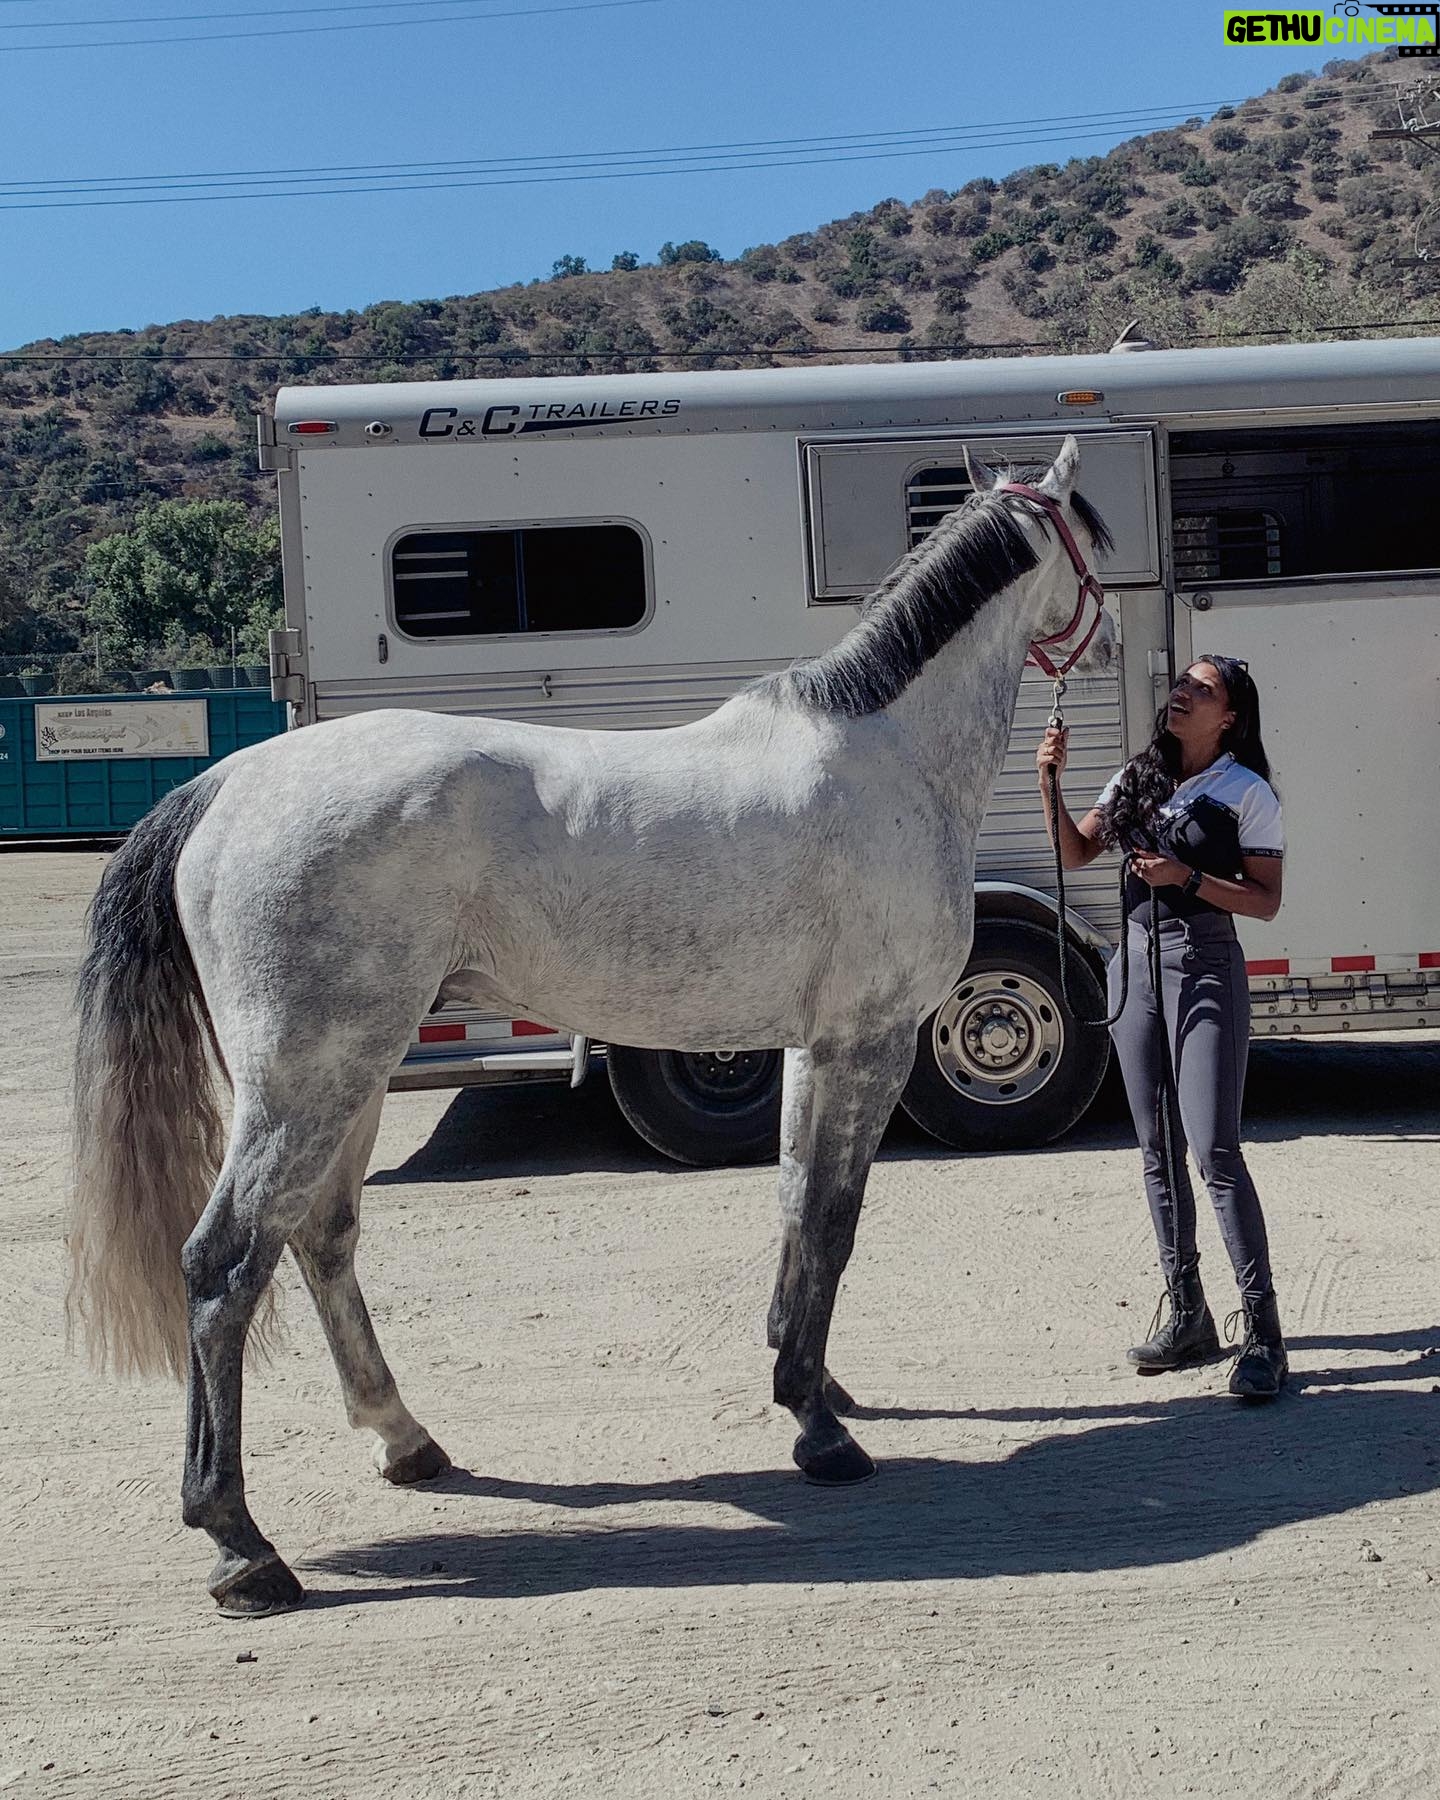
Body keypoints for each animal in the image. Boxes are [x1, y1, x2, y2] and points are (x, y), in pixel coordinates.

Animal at [66, 436, 1115, 1616]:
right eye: (1097, 536)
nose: (1116, 637)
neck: (888, 755)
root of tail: (224, 785)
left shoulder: (813, 1045)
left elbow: (796, 1208)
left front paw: (812, 1383)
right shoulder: (872, 1041)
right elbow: (834, 1220)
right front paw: (821, 1430)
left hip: (350, 1076)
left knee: (319, 1238)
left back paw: (406, 1442)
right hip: (306, 1078)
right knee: (223, 1265)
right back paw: (242, 1547)